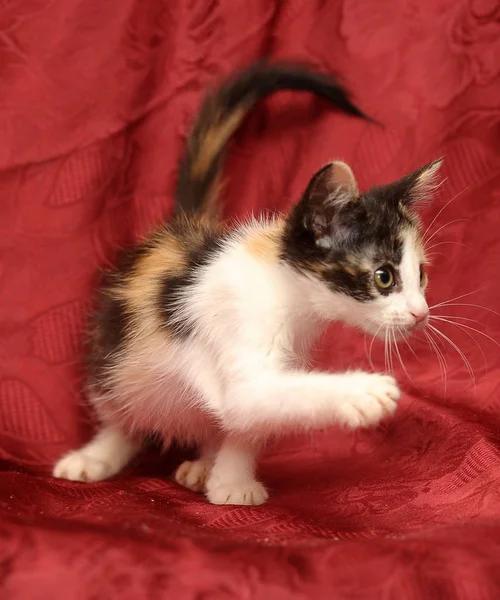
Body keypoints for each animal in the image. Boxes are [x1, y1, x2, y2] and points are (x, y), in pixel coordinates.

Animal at [52, 61, 440, 504]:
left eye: (421, 275)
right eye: (384, 276)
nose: (421, 313)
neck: (286, 289)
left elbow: (246, 419)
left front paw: (230, 481)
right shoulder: (238, 322)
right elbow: (251, 397)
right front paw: (362, 393)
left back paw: (202, 464)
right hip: (116, 353)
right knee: (122, 412)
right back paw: (96, 456)